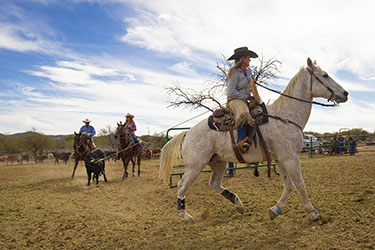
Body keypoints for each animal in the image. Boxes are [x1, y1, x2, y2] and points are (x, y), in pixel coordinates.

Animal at [159, 58, 350, 223]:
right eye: (325, 75)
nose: (345, 93)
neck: (285, 117)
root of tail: (187, 133)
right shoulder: (290, 157)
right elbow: (300, 184)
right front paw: (313, 213)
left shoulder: (280, 158)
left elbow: (288, 185)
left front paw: (275, 210)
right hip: (195, 166)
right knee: (182, 186)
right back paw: (186, 216)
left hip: (218, 162)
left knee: (214, 184)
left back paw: (238, 204)